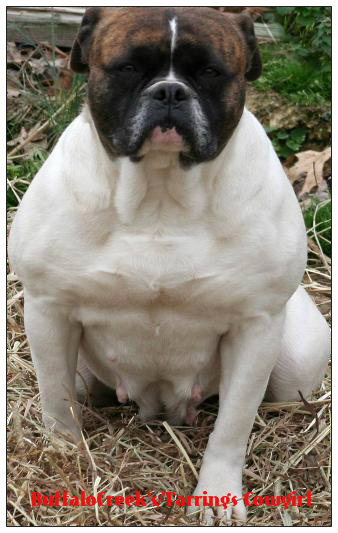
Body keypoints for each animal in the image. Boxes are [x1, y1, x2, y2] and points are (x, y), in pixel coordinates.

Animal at [7, 7, 330, 524]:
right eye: (128, 68)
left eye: (210, 72)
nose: (170, 92)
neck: (159, 195)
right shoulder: (49, 310)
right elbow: (56, 398)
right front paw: (64, 457)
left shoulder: (255, 327)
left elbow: (233, 424)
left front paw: (218, 494)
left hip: (295, 362)